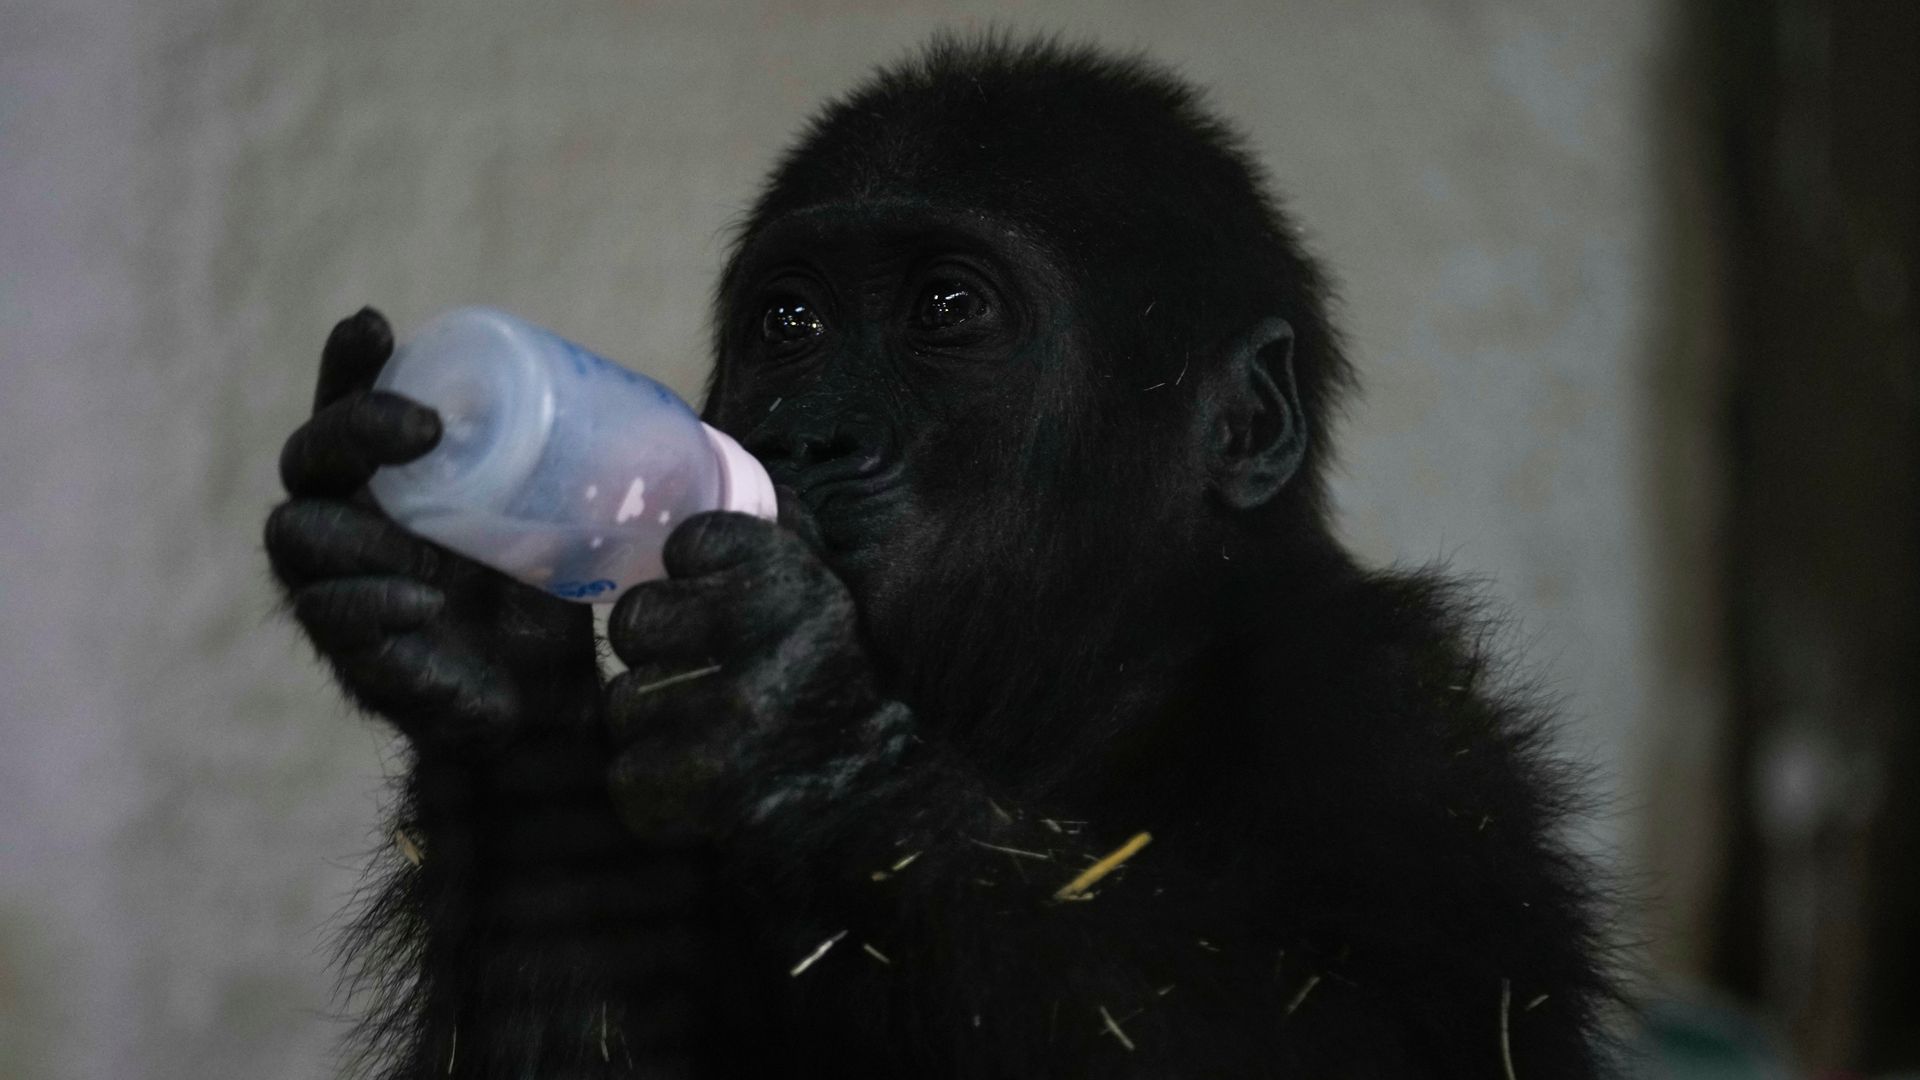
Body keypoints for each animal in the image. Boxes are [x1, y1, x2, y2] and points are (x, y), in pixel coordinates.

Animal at [270, 33, 1612, 1076]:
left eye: (948, 309)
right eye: (792, 321)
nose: (807, 437)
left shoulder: (1395, 728)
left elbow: (1351, 1041)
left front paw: (803, 733)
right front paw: (481, 642)